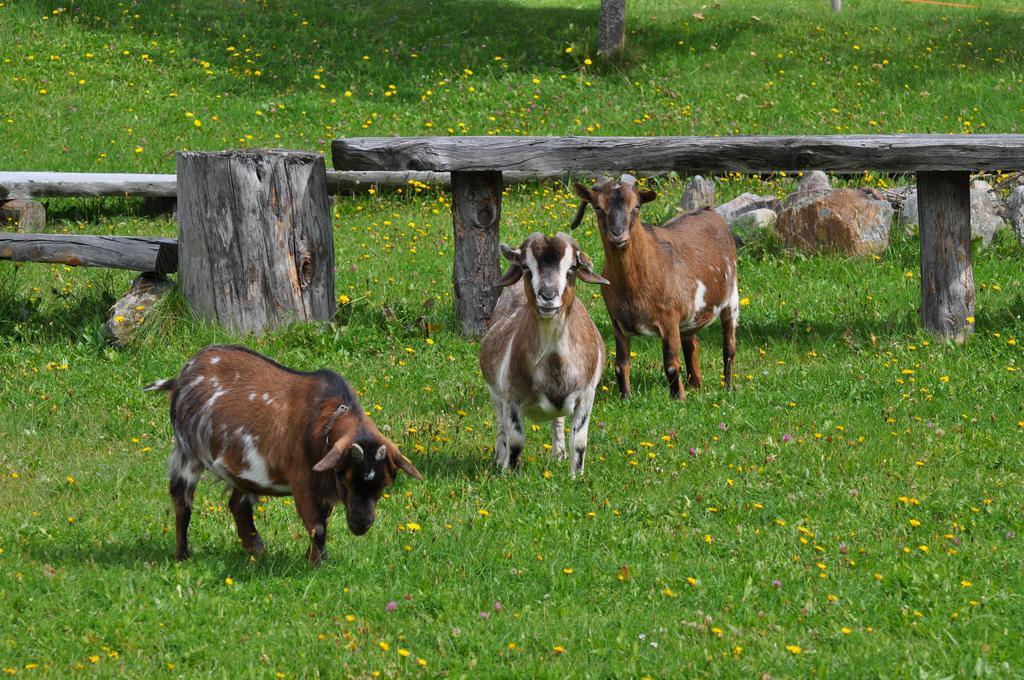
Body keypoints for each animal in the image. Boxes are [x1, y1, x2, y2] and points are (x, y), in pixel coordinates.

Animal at [142, 346, 421, 561]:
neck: (323, 418)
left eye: (384, 484)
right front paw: (317, 564)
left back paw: (256, 550)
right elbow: (317, 526)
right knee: (182, 503)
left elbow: (323, 520)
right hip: (186, 452)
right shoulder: (302, 479)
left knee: (238, 504)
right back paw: (183, 556)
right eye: (346, 479)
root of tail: (182, 375)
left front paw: (314, 558)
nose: (361, 525)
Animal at [479, 231, 606, 475]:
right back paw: (499, 458)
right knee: (501, 427)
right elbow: (516, 441)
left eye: (572, 268)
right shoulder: (511, 397)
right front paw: (509, 473)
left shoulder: (586, 395)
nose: (548, 296)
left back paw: (558, 454)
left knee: (558, 421)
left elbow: (579, 442)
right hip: (495, 395)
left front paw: (576, 476)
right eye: (526, 267)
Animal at [573, 175, 741, 401]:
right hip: (689, 317)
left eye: (636, 206)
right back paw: (695, 384)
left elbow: (670, 365)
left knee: (728, 347)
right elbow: (620, 365)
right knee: (691, 343)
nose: (618, 235)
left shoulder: (669, 318)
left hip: (731, 299)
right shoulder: (617, 322)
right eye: (598, 207)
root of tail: (709, 210)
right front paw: (626, 397)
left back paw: (728, 387)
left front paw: (678, 399)